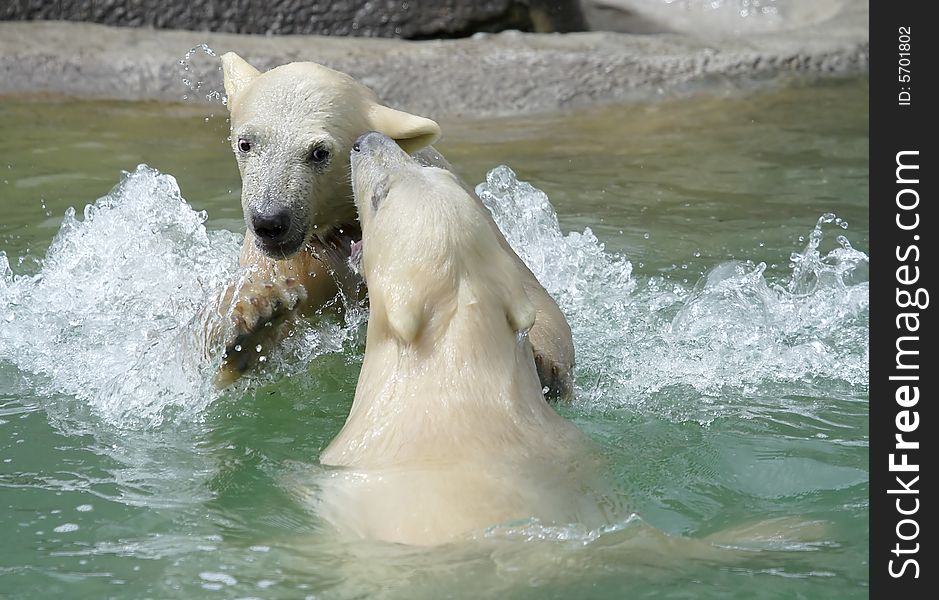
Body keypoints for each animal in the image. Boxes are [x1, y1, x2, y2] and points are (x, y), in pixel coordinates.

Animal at [213, 52, 576, 398]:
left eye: (319, 152)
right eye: (246, 143)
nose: (270, 221)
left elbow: (535, 296)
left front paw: (541, 365)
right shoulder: (298, 257)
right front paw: (256, 319)